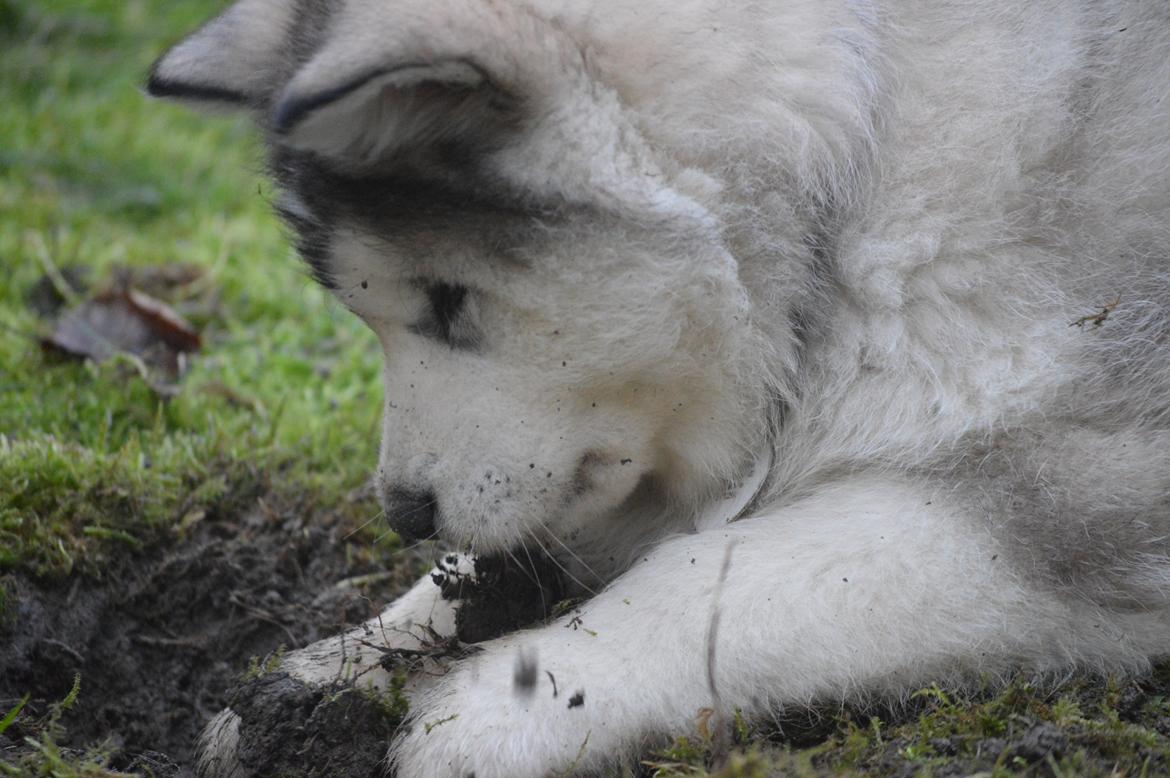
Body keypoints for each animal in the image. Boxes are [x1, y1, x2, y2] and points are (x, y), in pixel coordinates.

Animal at [150, 1, 1170, 772]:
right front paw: (324, 673)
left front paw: (505, 704)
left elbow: (721, 567)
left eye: (446, 300)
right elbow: (481, 570)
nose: (403, 514)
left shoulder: (1082, 490)